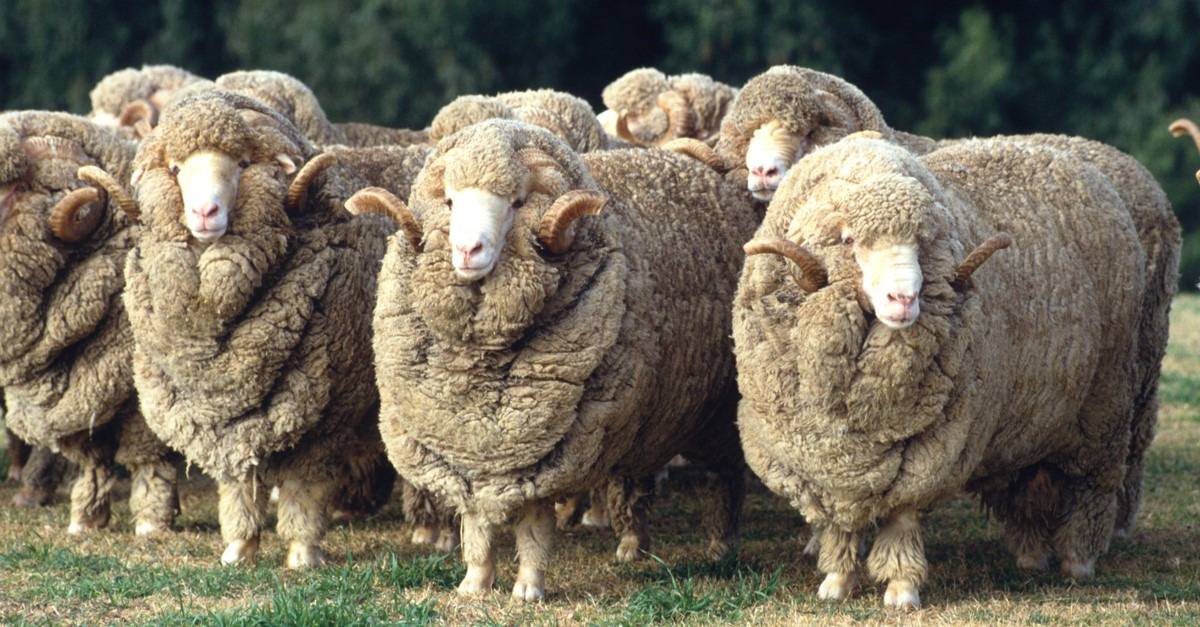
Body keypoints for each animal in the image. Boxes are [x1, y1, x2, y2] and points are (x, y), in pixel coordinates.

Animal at [0, 111, 179, 535]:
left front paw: (152, 520)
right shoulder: (84, 394)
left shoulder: (141, 391)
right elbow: (93, 460)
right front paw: (86, 518)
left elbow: (148, 456)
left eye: (15, 189)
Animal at [116, 88, 400, 568]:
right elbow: (238, 483)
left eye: (243, 163)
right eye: (176, 169)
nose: (204, 211)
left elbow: (304, 488)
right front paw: (239, 548)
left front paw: (303, 554)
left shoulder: (325, 414)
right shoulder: (225, 415)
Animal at [370, 119, 757, 601]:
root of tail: (702, 170)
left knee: (726, 477)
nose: (467, 251)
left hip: (718, 413)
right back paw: (633, 544)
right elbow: (476, 525)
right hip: (641, 416)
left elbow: (534, 526)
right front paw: (474, 583)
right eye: (450, 201)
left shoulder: (543, 449)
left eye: (517, 203)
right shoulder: (472, 451)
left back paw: (722, 546)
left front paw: (528, 588)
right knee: (637, 475)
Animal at [732, 134, 1172, 609]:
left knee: (1091, 487)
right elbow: (839, 525)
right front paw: (836, 580)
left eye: (922, 244)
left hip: (1105, 404)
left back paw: (1078, 561)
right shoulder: (825, 462)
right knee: (1031, 488)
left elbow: (902, 518)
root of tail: (1074, 159)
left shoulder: (935, 449)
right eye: (848, 239)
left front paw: (901, 587)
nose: (904, 299)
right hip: (1036, 417)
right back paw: (1031, 556)